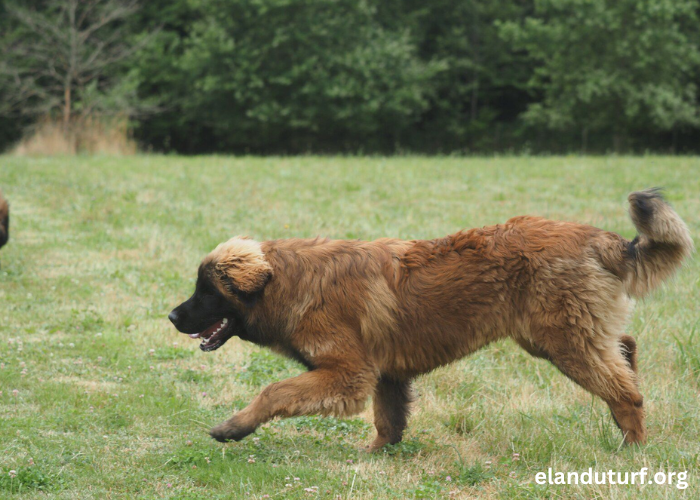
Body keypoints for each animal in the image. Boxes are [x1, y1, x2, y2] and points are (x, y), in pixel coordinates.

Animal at [170, 190, 696, 450]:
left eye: (206, 291)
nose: (172, 315)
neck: (289, 282)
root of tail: (601, 238)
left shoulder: (347, 373)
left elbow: (274, 392)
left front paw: (234, 427)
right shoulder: (383, 374)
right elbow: (389, 420)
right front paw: (378, 454)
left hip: (562, 340)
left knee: (624, 390)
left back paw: (633, 445)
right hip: (569, 334)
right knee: (625, 348)